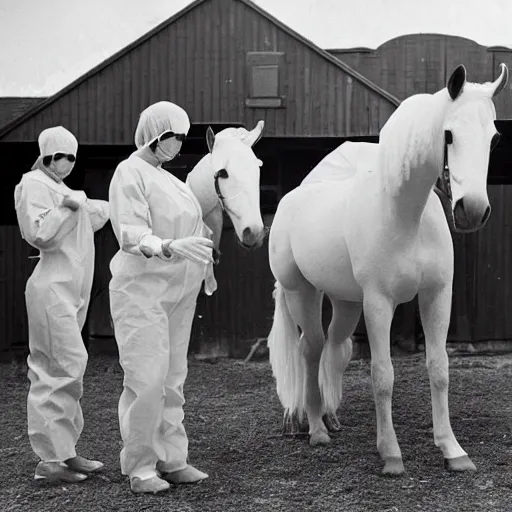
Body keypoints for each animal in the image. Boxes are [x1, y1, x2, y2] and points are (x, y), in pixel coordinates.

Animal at [268, 65, 508, 476]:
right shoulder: (379, 303)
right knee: (310, 348)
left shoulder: (436, 295)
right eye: (448, 134)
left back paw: (330, 416)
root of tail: (289, 201)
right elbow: (383, 375)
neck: (405, 217)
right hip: (303, 293)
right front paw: (391, 454)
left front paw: (453, 450)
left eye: (493, 139)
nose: (473, 210)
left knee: (333, 346)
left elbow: (439, 369)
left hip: (346, 302)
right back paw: (316, 428)